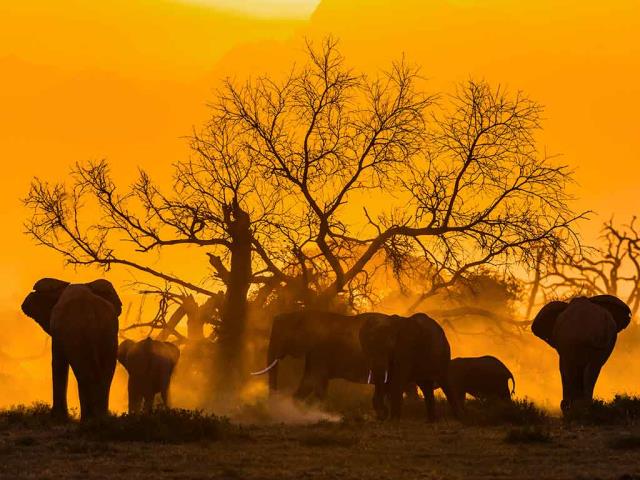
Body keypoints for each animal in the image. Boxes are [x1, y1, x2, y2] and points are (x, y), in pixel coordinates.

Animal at [21, 277, 121, 420]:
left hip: (77, 333)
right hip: (109, 333)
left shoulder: (58, 329)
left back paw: (90, 420)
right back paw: (100, 418)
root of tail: (91, 311)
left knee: (85, 372)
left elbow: (58, 362)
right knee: (105, 373)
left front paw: (58, 418)